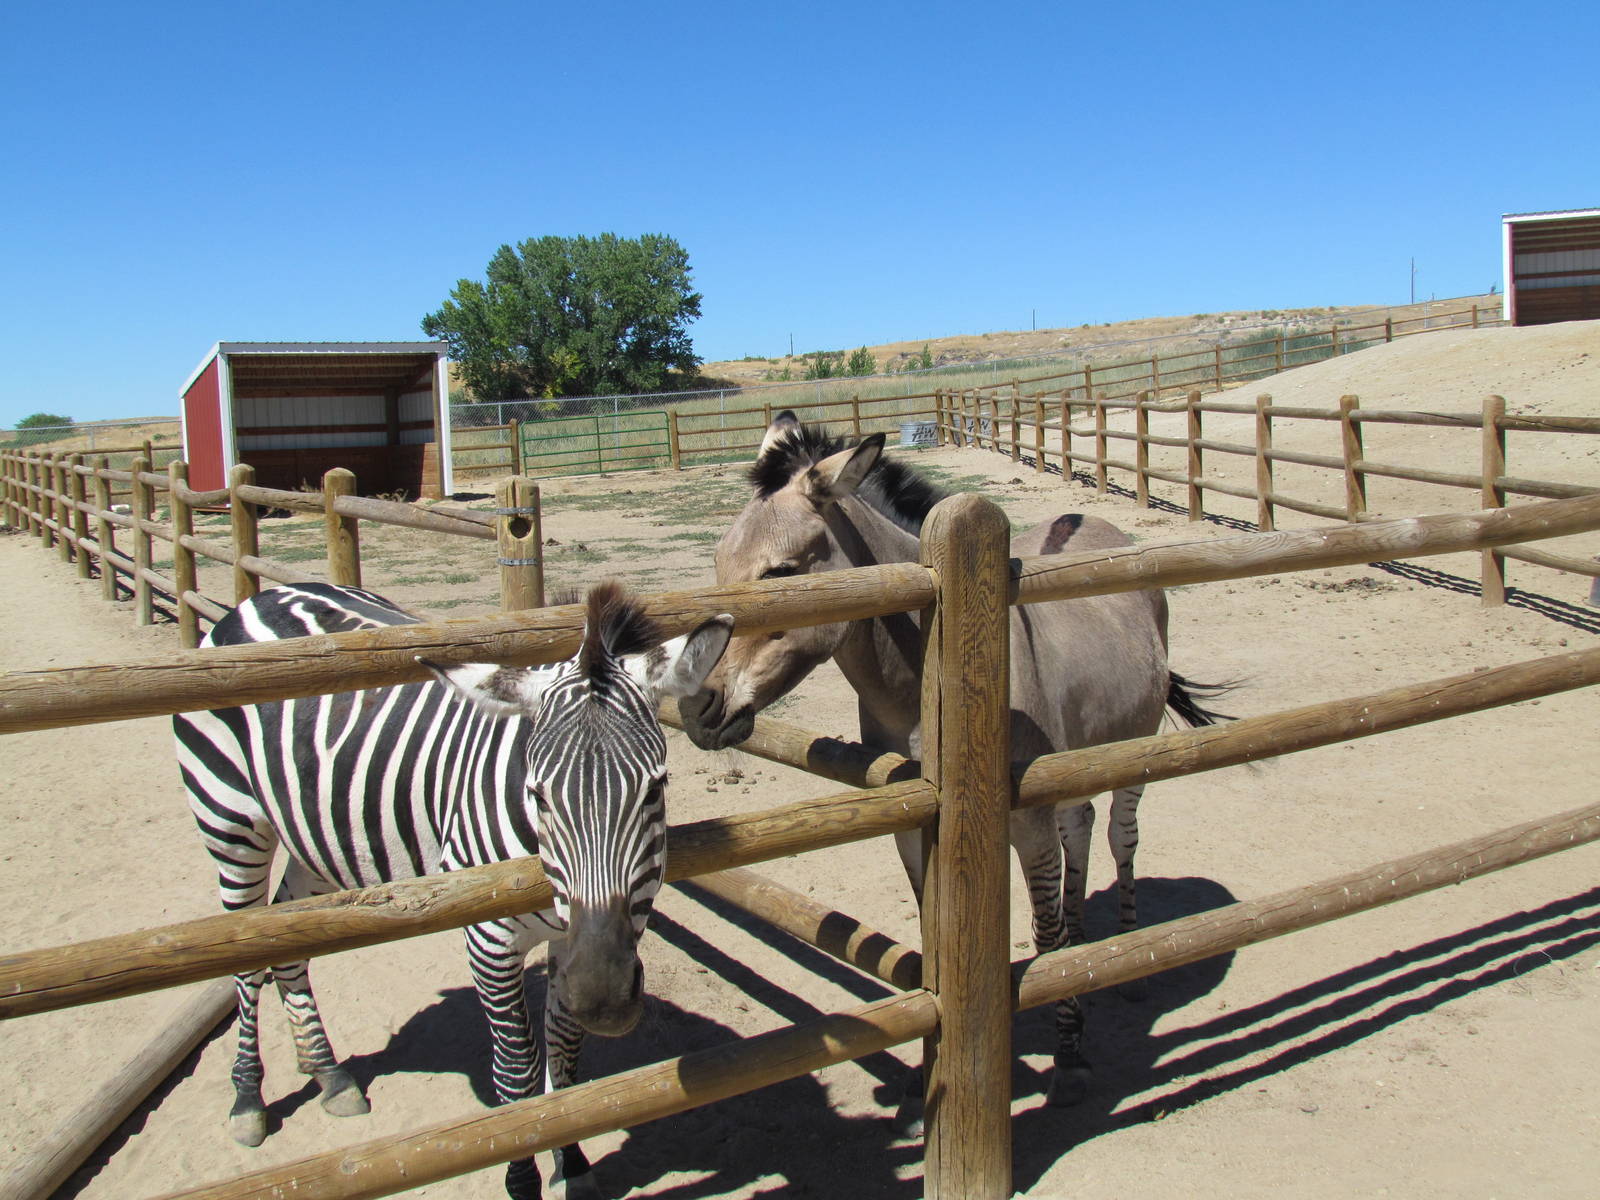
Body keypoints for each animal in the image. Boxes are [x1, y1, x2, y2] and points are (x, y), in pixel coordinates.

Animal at [174, 579, 732, 1200]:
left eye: (656, 789)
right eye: (538, 795)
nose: (604, 1000)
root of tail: (268, 595)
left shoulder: (573, 937)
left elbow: (563, 1056)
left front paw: (573, 1160)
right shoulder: (489, 941)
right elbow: (516, 1074)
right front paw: (523, 1178)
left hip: (315, 836)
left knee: (288, 942)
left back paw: (328, 1074)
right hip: (229, 819)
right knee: (248, 958)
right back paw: (248, 1098)